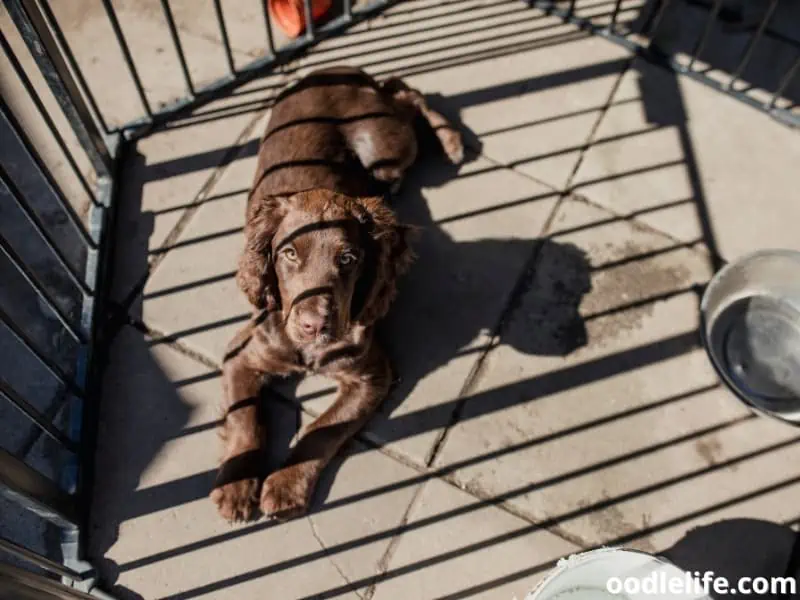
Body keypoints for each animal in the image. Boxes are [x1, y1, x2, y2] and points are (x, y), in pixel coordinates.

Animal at [209, 68, 466, 524]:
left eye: (348, 259)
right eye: (288, 254)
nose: (315, 325)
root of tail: (336, 70)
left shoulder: (372, 375)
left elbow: (321, 430)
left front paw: (284, 486)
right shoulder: (241, 354)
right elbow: (245, 418)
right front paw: (236, 485)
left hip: (384, 146)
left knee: (406, 95)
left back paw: (451, 141)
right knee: (401, 90)